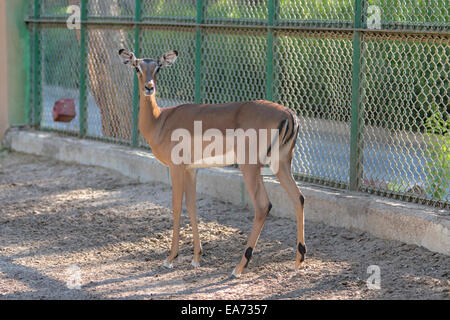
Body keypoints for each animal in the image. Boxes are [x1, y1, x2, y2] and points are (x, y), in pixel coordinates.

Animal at [118, 48, 306, 278]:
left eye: (158, 67)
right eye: (137, 67)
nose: (149, 87)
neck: (160, 121)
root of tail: (289, 114)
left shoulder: (176, 168)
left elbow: (176, 206)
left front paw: (170, 259)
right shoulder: (191, 169)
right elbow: (192, 206)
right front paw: (196, 258)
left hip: (250, 166)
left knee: (263, 205)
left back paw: (238, 268)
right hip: (282, 163)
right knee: (299, 198)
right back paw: (298, 261)